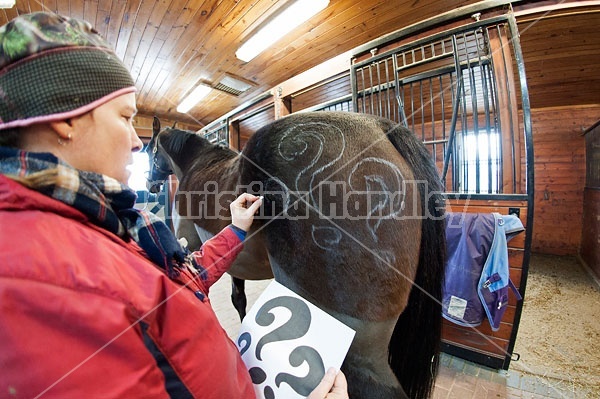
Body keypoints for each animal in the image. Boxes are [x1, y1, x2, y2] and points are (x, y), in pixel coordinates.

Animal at [145, 110, 446, 399]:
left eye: (150, 150)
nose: (150, 185)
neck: (197, 165)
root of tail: (382, 129)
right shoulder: (234, 264)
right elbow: (239, 299)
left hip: (361, 355)